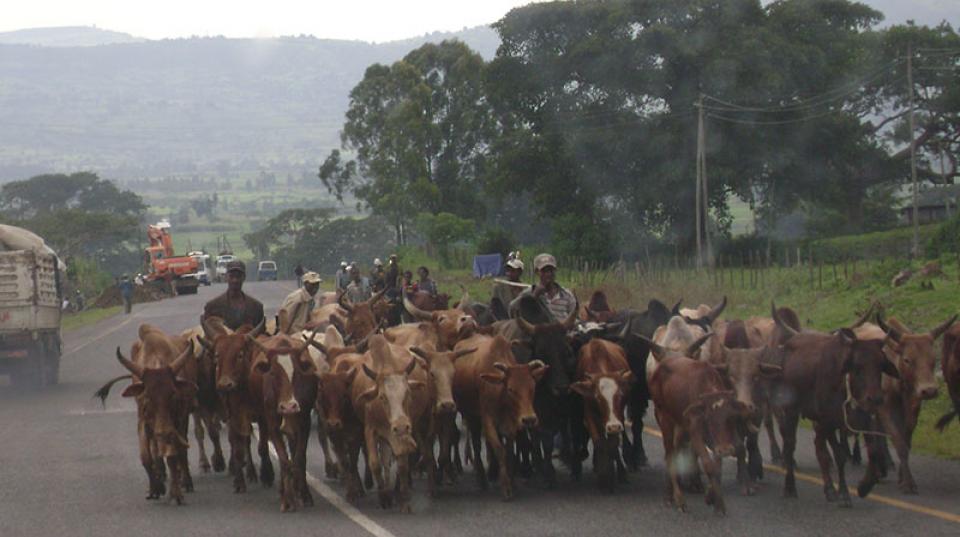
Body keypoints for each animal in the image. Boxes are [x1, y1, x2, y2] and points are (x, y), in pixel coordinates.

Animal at [452, 332, 544, 500]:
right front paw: (506, 487)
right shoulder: (488, 420)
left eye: (532, 388)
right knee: (476, 444)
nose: (529, 419)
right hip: (471, 415)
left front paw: (512, 482)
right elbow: (499, 450)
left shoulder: (512, 424)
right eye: (511, 389)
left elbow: (508, 452)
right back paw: (482, 479)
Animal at [572, 340, 632, 494]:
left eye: (620, 395)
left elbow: (613, 444)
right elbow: (599, 442)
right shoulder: (588, 415)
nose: (613, 426)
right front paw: (603, 477)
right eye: (597, 397)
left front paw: (616, 475)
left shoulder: (618, 417)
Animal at [768, 310, 896, 506]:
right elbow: (833, 454)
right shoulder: (826, 420)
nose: (875, 398)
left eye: (881, 364)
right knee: (791, 445)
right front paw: (838, 491)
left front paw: (862, 486)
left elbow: (869, 450)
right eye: (857, 365)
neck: (844, 385)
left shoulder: (857, 420)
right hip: (791, 412)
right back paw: (790, 486)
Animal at [852, 312, 956, 492]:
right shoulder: (885, 408)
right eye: (907, 359)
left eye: (933, 359)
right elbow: (899, 442)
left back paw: (883, 467)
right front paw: (908, 483)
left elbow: (906, 441)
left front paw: (902, 477)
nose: (929, 390)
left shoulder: (913, 408)